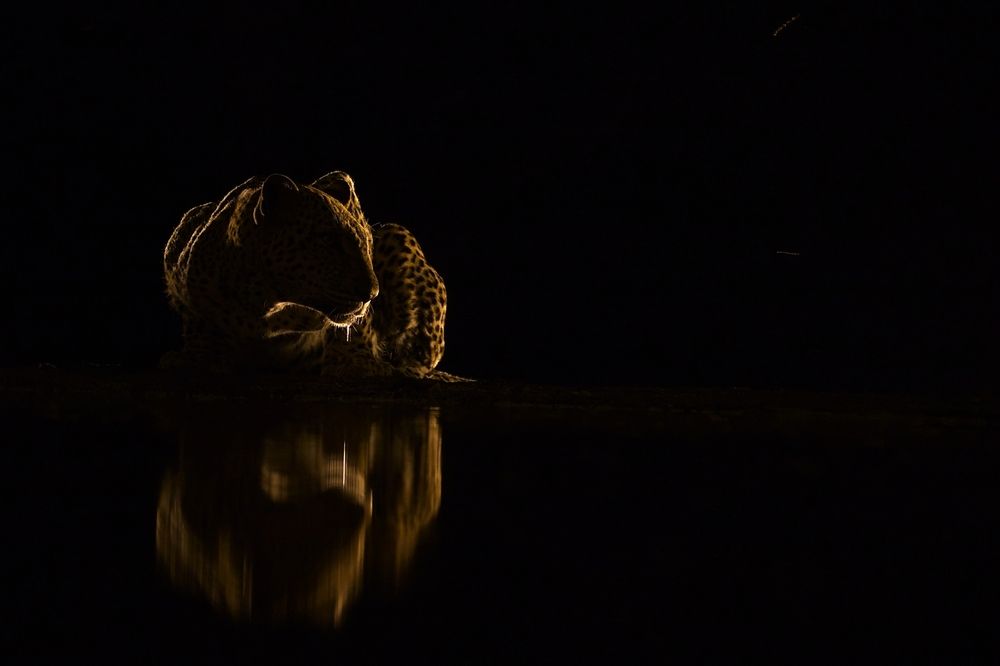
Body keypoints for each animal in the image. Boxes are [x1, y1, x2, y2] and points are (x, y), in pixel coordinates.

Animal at [162, 170, 460, 380]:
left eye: (367, 246)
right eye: (329, 241)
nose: (372, 294)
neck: (268, 304)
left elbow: (357, 326)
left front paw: (355, 361)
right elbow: (197, 317)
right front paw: (199, 355)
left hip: (397, 236)